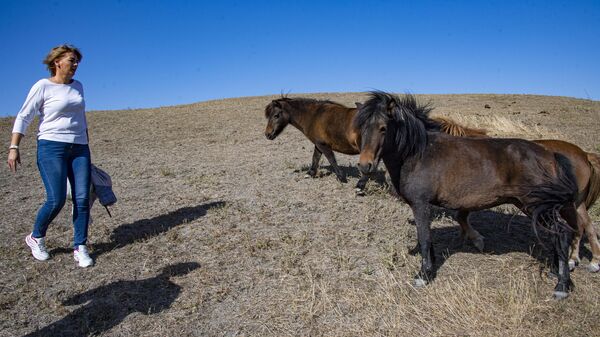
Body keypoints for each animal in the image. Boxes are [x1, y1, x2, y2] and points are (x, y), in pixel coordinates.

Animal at [356, 90, 580, 298]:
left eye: (383, 128)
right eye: (362, 128)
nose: (365, 165)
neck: (418, 153)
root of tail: (550, 154)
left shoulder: (420, 204)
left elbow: (424, 237)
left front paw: (424, 275)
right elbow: (428, 238)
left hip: (535, 206)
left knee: (562, 233)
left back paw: (561, 285)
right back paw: (557, 273)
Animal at [434, 117, 600, 272]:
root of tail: (585, 155)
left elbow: (461, 217)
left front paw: (476, 239)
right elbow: (461, 217)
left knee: (580, 226)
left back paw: (578, 261)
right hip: (575, 203)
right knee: (585, 226)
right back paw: (583, 260)